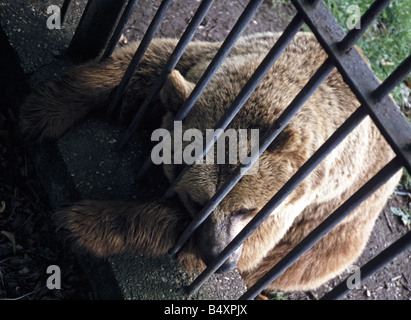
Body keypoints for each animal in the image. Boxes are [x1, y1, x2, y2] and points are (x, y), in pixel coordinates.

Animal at [19, 32, 402, 292]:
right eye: (197, 200)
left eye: (246, 210)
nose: (220, 261)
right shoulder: (206, 62)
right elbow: (143, 63)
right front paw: (42, 111)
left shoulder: (297, 193)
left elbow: (253, 244)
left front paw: (82, 222)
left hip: (340, 217)